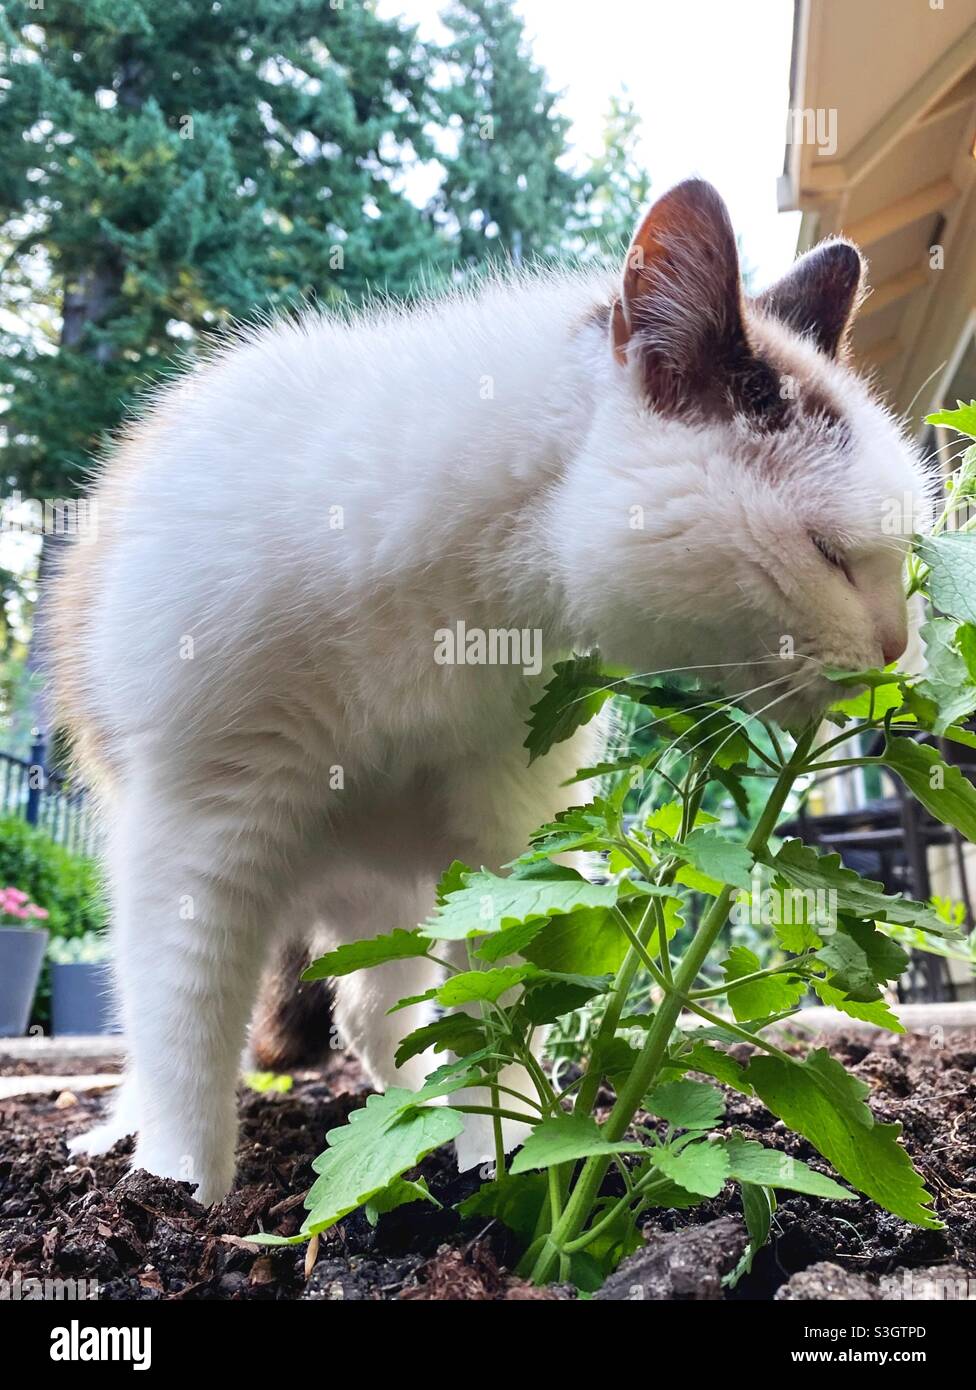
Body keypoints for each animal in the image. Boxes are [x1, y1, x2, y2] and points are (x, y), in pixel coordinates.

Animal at [53, 182, 934, 1206]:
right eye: (830, 554)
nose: (896, 650)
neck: (459, 618)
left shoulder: (505, 850)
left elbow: (497, 1023)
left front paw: (507, 1168)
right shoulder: (199, 838)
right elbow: (187, 1041)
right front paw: (175, 1195)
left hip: (401, 904)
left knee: (382, 1017)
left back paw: (408, 1122)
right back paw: (119, 1138)